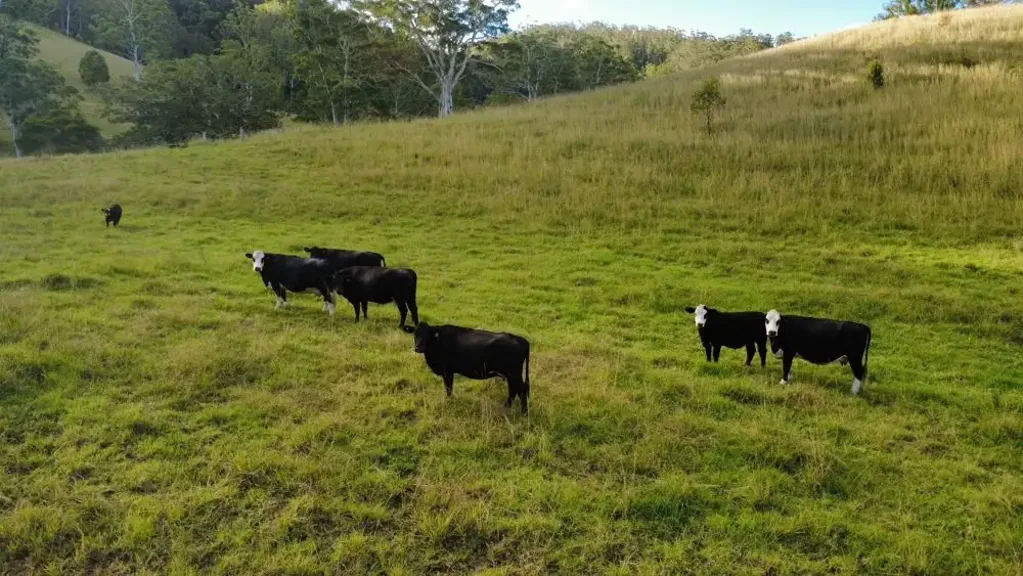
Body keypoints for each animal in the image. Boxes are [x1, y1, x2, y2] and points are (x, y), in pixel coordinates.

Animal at [402, 322, 531, 415]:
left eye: (427, 334)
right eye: (415, 334)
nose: (418, 347)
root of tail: (521, 339)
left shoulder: (447, 371)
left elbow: (448, 388)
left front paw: (449, 401)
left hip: (514, 374)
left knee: (521, 391)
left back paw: (524, 413)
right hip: (511, 375)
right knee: (514, 390)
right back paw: (507, 407)